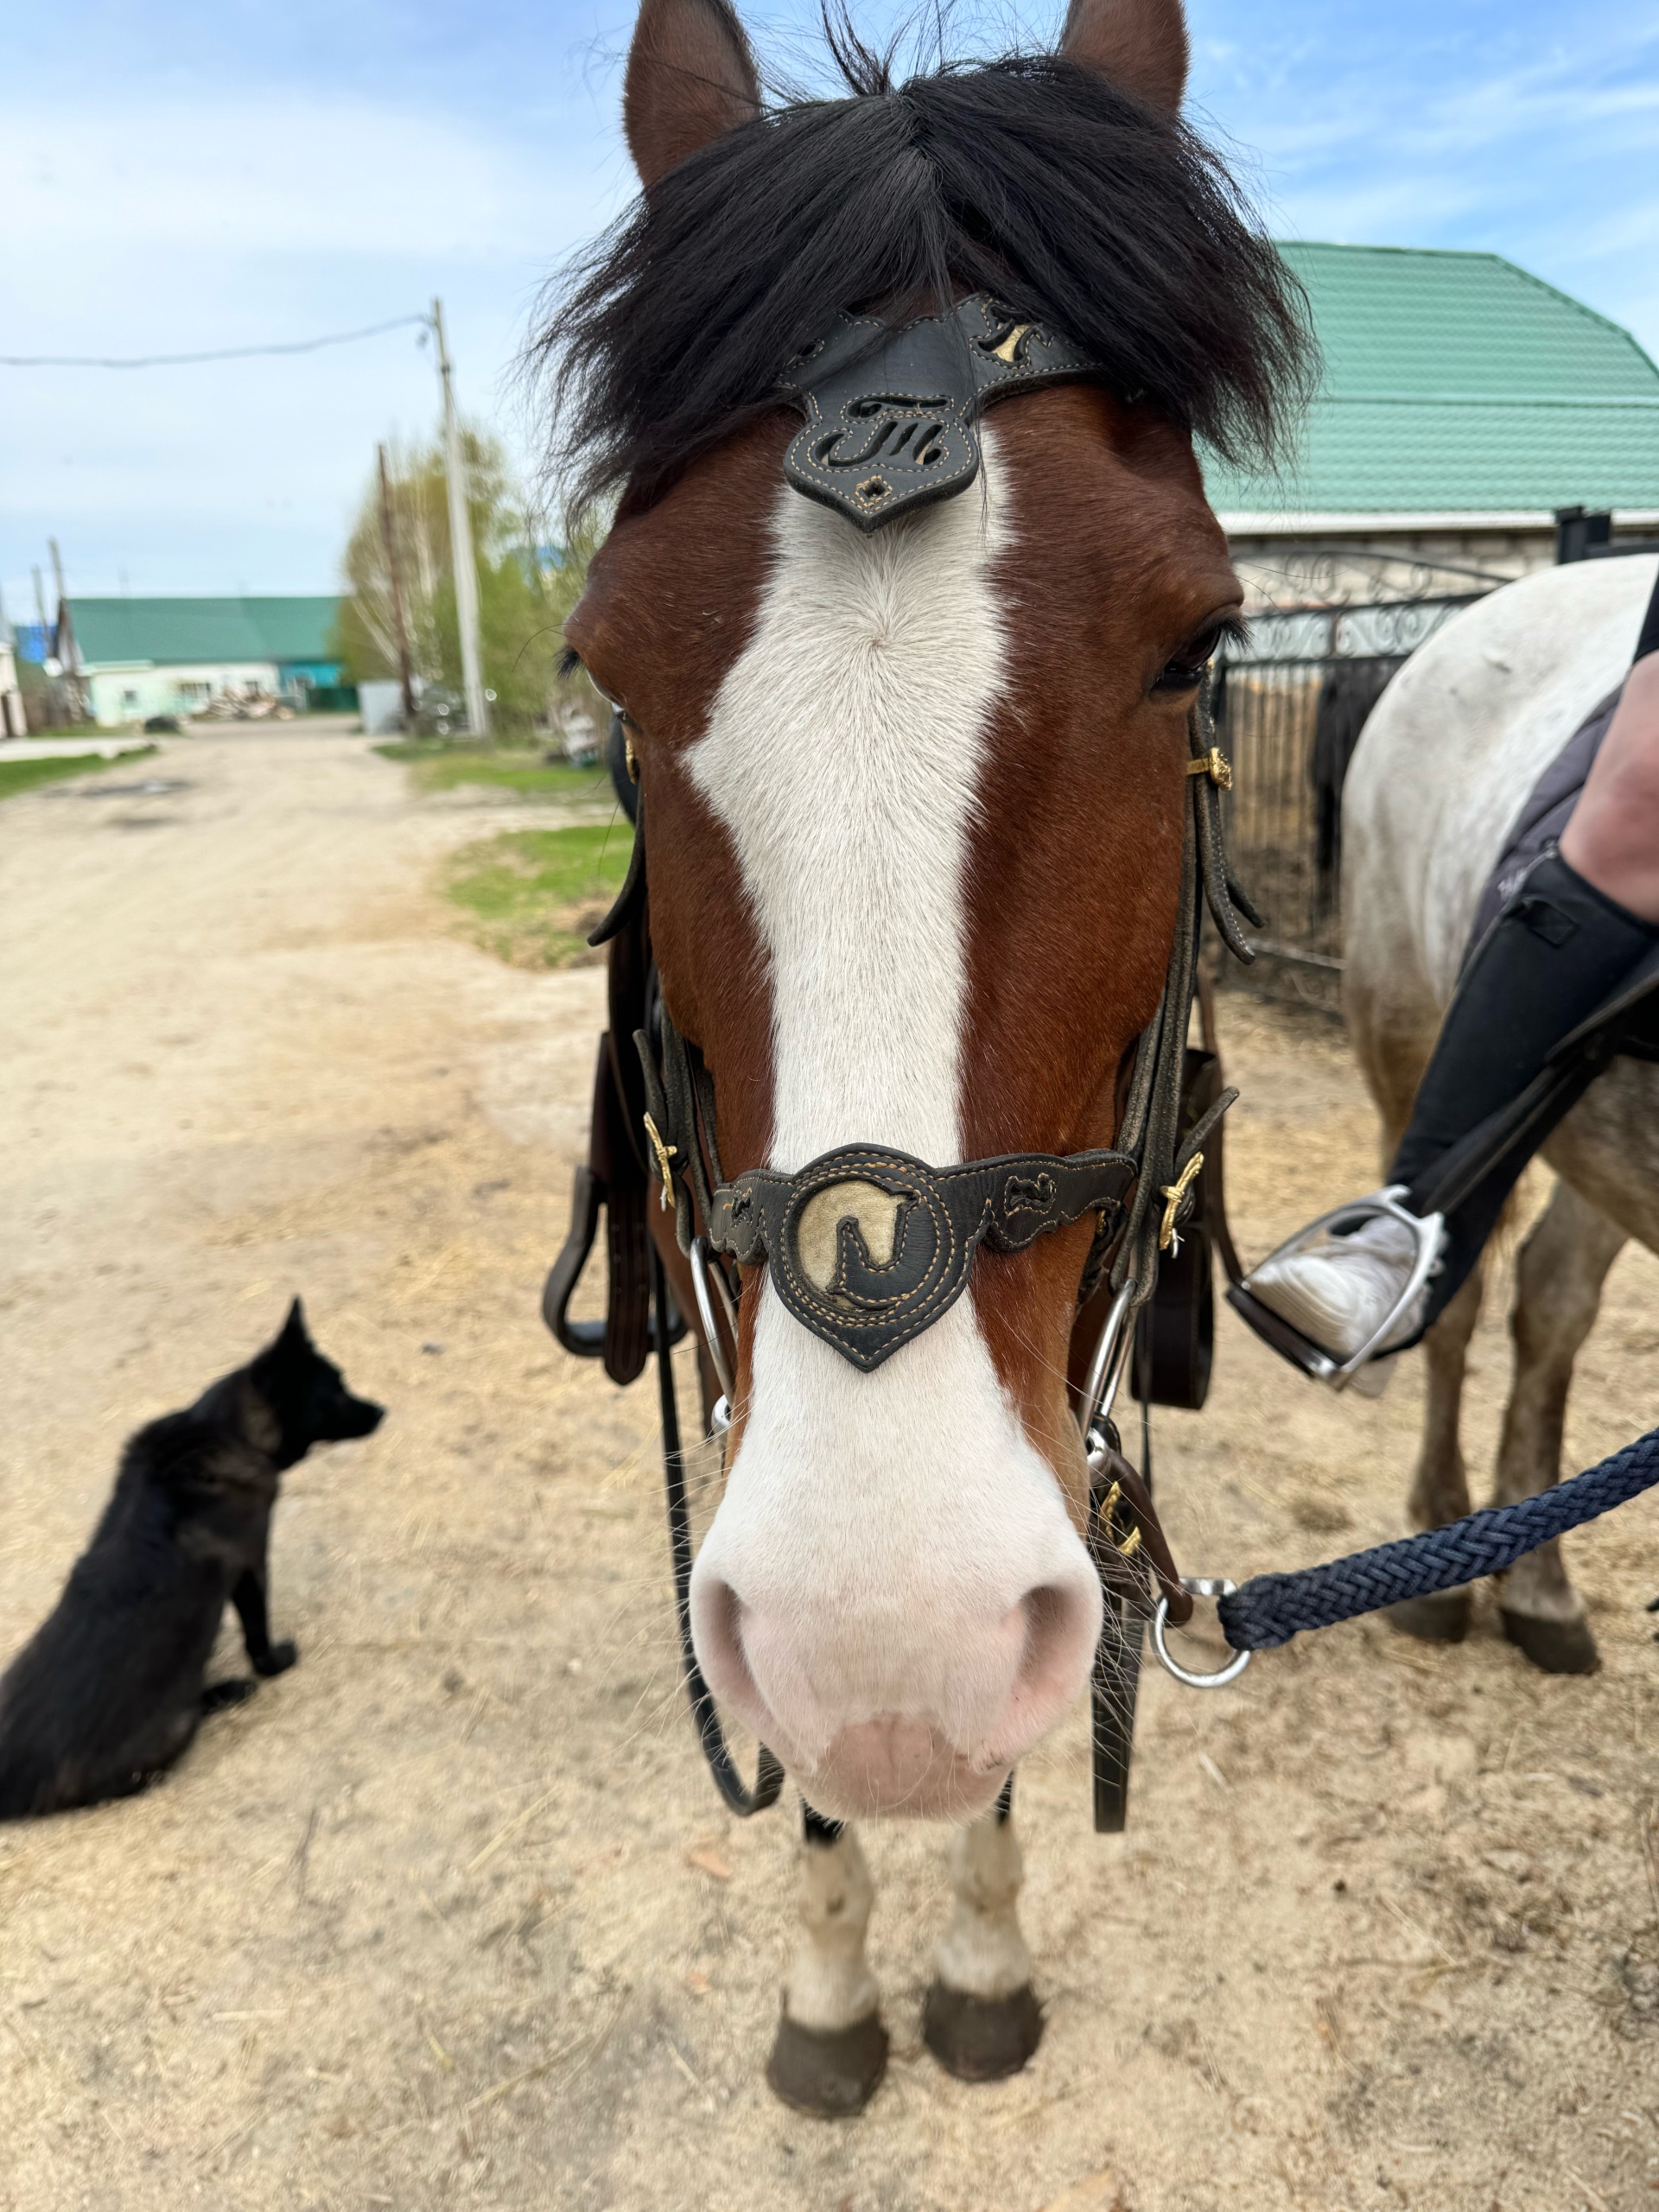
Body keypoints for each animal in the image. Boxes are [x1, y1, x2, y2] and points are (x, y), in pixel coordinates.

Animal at [0, 1292, 382, 1814]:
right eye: (336, 1390)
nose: (383, 1411)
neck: (226, 1430)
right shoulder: (251, 1563)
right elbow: (258, 1631)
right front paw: (273, 1664)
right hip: (173, 1730)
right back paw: (228, 1690)